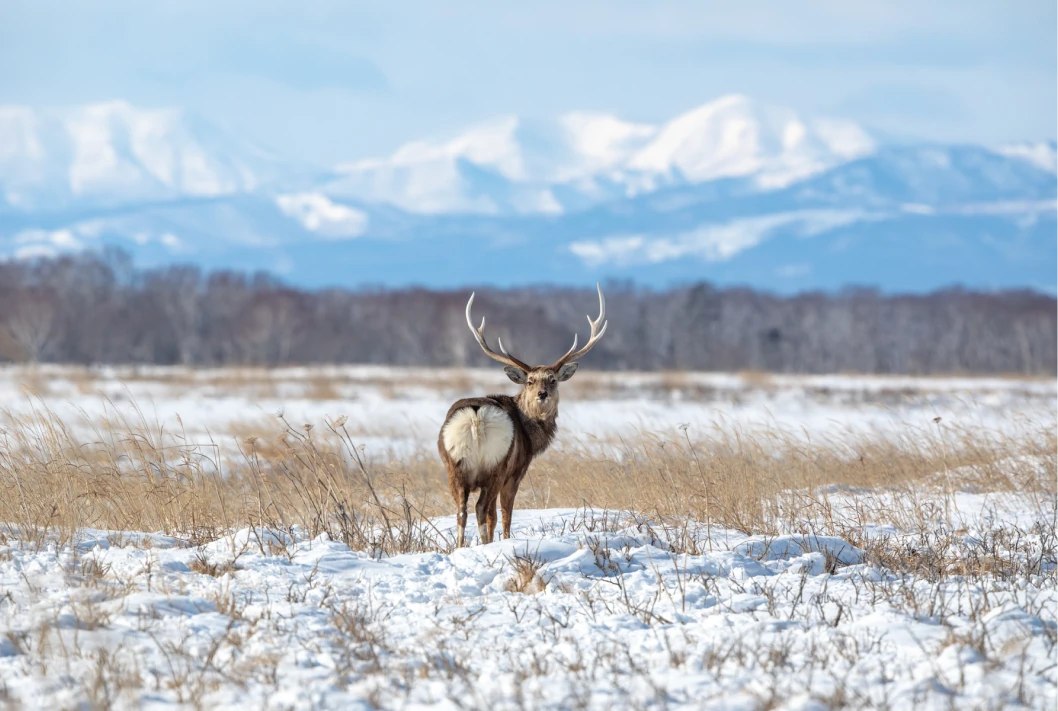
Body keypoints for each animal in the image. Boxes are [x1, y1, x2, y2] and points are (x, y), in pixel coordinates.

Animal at [437, 285, 608, 547]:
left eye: (553, 380)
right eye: (530, 381)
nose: (542, 394)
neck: (531, 437)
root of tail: (476, 419)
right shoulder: (516, 471)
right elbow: (505, 515)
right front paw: (505, 540)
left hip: (453, 466)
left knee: (461, 511)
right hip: (497, 465)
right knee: (483, 509)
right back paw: (485, 544)